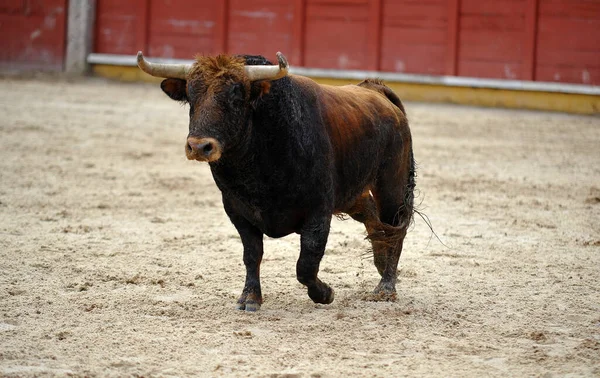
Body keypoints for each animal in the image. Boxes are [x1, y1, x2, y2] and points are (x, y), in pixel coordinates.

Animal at [138, 50, 414, 310]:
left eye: (236, 98)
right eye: (191, 97)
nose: (198, 147)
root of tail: (375, 90)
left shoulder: (318, 212)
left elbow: (306, 263)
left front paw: (325, 294)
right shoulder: (237, 211)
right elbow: (252, 254)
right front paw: (250, 298)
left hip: (391, 187)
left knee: (395, 229)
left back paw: (386, 287)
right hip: (353, 194)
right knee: (372, 217)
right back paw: (381, 265)